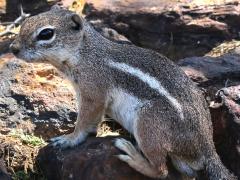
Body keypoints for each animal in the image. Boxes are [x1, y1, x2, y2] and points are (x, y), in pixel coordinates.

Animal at [9, 5, 236, 180]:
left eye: (46, 33)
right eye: (26, 22)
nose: (12, 48)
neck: (86, 53)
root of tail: (208, 148)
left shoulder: (93, 92)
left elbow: (85, 120)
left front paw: (68, 139)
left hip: (149, 123)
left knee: (161, 171)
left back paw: (132, 155)